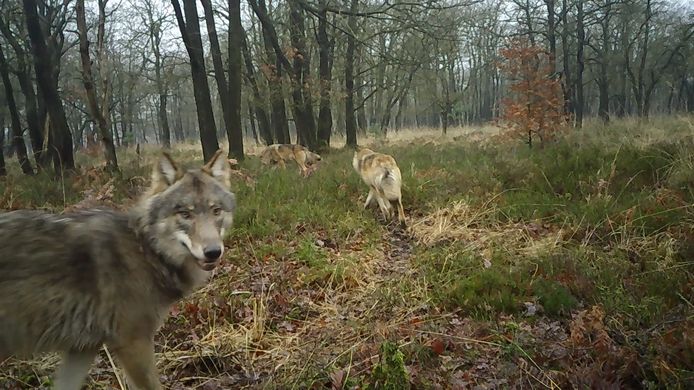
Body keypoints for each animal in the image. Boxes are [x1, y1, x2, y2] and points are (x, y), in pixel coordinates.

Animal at [0, 149, 237, 390]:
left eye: (216, 211)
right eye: (185, 214)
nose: (213, 252)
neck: (145, 249)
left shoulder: (82, 348)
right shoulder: (134, 343)